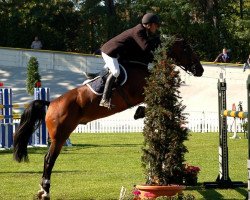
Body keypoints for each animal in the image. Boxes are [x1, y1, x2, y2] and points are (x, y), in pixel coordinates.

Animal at [13, 37, 203, 198]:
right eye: (186, 49)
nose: (200, 70)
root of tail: (51, 103)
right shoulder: (140, 93)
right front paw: (140, 112)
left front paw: (140, 113)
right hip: (60, 136)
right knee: (48, 159)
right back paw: (45, 191)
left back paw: (42, 190)